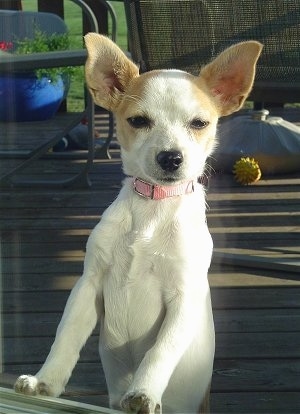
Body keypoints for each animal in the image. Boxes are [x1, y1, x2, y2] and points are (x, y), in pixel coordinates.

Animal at [14, 34, 262, 412]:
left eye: (199, 124)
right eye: (138, 121)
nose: (171, 158)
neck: (152, 210)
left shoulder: (183, 298)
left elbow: (160, 352)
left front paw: (143, 392)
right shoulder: (88, 285)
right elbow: (65, 335)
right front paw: (45, 381)